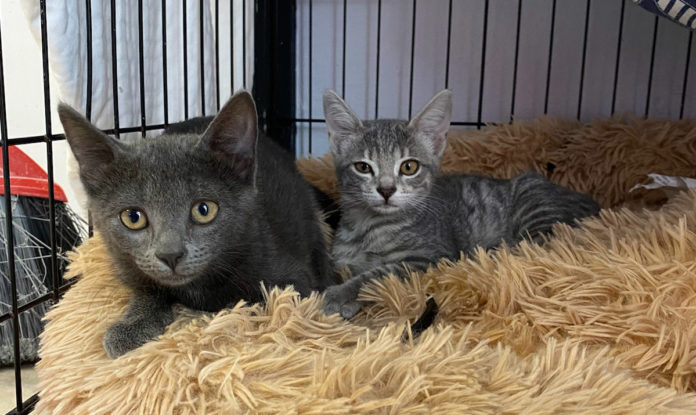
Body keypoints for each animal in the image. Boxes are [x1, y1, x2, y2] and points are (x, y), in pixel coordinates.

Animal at [58, 91, 336, 358]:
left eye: (204, 210)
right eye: (133, 217)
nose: (170, 255)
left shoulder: (294, 280)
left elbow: (254, 303)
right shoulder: (132, 270)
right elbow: (148, 290)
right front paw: (134, 324)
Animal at [320, 90, 600, 318]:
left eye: (409, 167)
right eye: (363, 167)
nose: (386, 190)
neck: (368, 227)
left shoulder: (429, 258)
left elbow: (379, 274)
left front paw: (341, 294)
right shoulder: (342, 260)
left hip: (534, 205)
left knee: (532, 249)